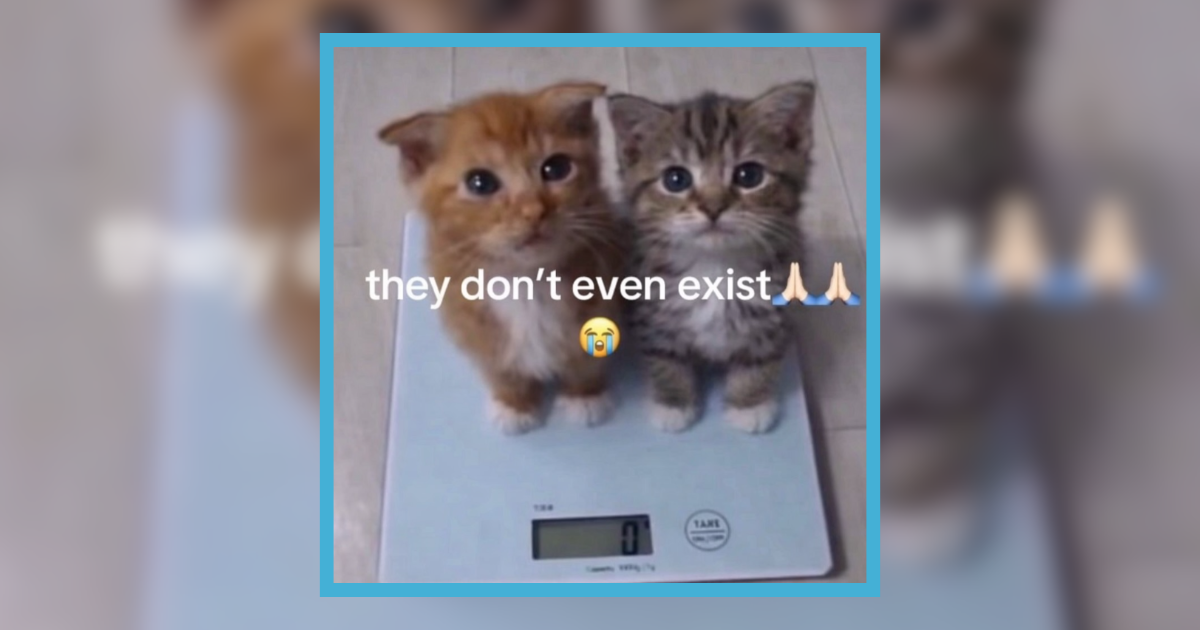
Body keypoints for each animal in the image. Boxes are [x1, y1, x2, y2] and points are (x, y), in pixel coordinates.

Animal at [379, 82, 625, 434]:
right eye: (480, 183)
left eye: (557, 168)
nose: (533, 211)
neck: (527, 279)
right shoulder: (470, 324)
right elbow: (500, 369)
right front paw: (514, 404)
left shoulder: (601, 298)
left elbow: (586, 359)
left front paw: (584, 396)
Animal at [607, 82, 816, 434]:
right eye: (676, 179)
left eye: (749, 175)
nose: (713, 207)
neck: (715, 266)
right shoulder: (651, 310)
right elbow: (664, 356)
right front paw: (673, 402)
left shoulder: (779, 304)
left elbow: (762, 356)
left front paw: (749, 403)